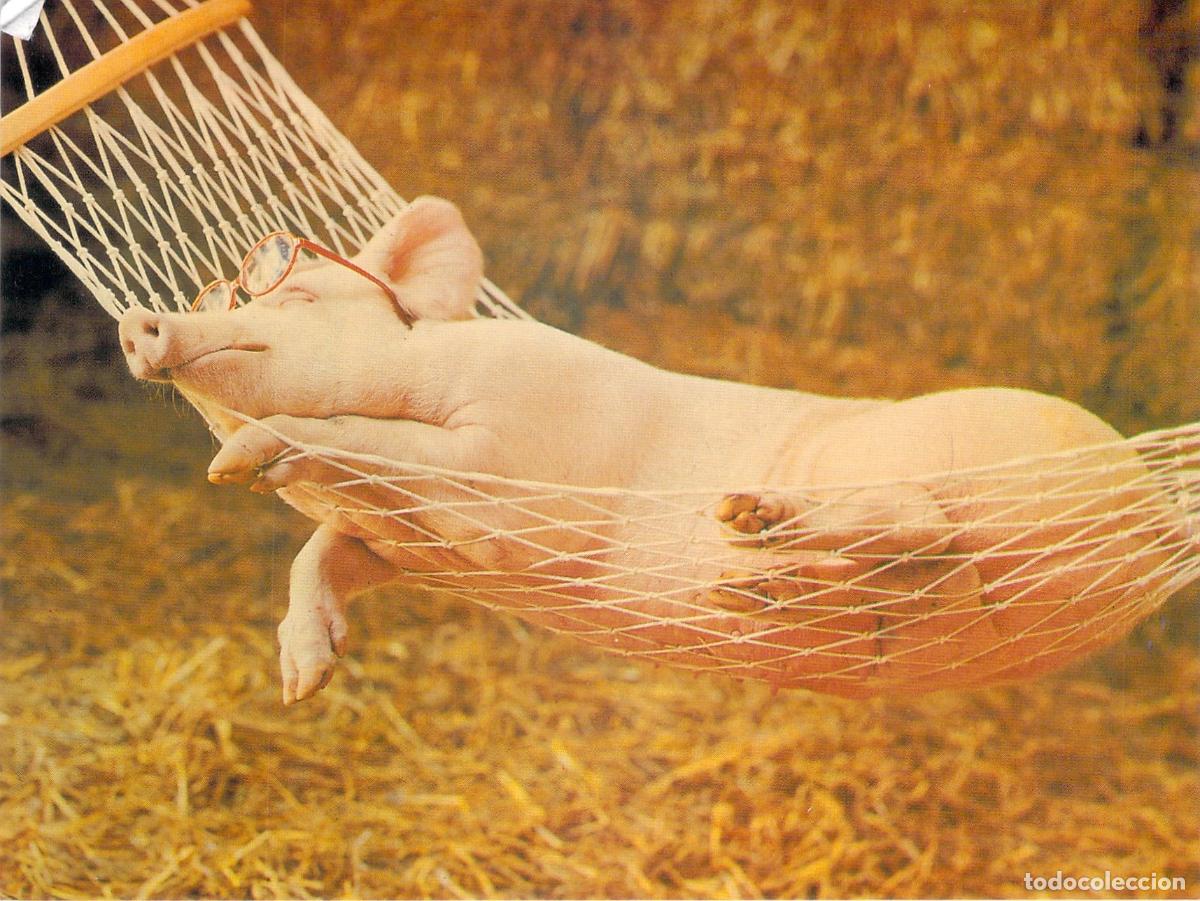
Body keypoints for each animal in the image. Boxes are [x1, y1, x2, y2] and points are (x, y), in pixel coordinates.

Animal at [118, 196, 1186, 703]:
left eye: (291, 292)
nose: (142, 321)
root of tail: (1148, 499)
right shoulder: (408, 544)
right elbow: (323, 551)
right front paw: (303, 680)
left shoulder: (514, 440)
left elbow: (353, 436)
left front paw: (243, 459)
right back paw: (759, 575)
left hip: (937, 457)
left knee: (918, 516)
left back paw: (754, 527)